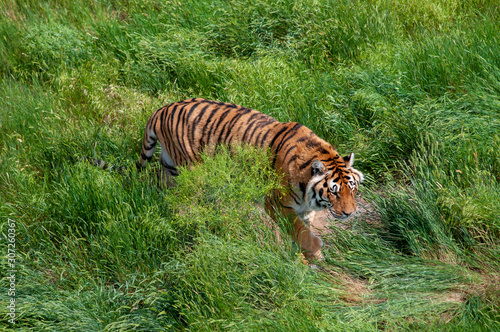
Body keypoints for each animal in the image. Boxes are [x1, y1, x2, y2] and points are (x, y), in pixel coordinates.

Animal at [137, 97, 364, 260]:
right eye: (334, 192)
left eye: (352, 189)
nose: (349, 213)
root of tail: (161, 110)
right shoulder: (276, 204)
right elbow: (299, 231)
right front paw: (315, 251)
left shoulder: (305, 210)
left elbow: (301, 232)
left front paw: (304, 258)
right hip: (193, 172)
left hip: (171, 168)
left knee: (166, 192)